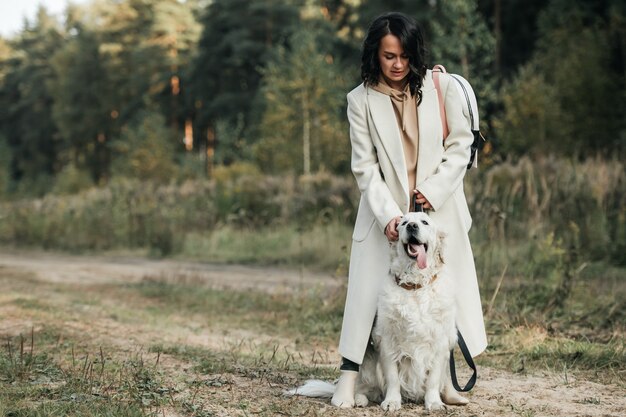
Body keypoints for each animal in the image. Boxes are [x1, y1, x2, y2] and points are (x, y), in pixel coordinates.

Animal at [286, 211, 458, 410]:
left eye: (424, 222)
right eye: (403, 223)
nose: (412, 226)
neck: (414, 286)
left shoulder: (440, 342)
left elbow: (433, 380)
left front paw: (434, 403)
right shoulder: (388, 341)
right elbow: (393, 378)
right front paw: (392, 401)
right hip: (368, 366)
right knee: (364, 388)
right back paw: (358, 399)